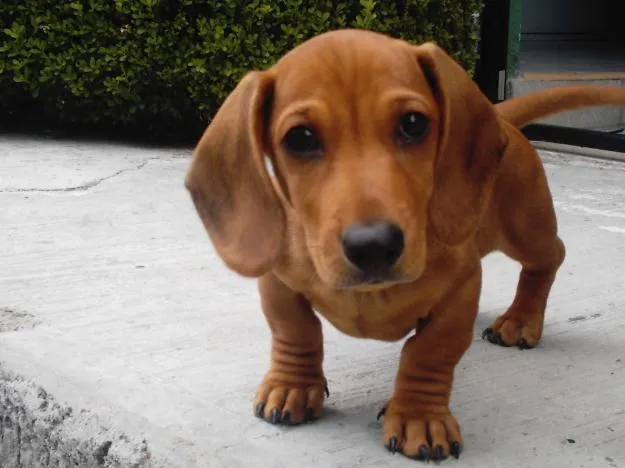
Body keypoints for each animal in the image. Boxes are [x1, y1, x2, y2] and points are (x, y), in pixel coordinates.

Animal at [185, 28, 625, 460]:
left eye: (413, 124)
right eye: (300, 138)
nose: (373, 246)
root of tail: (501, 118)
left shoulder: (460, 287)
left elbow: (428, 352)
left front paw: (420, 418)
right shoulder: (279, 280)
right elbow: (295, 330)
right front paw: (292, 385)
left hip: (525, 227)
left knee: (549, 257)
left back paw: (520, 319)